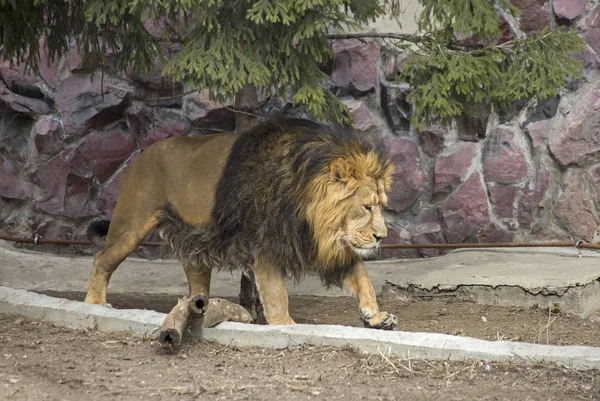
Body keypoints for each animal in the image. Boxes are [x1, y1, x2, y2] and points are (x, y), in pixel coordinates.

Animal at [82, 117, 396, 330]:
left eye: (382, 207)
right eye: (367, 207)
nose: (382, 236)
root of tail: (142, 153)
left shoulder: (323, 246)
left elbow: (363, 277)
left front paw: (376, 316)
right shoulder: (265, 245)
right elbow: (276, 293)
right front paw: (285, 325)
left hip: (194, 242)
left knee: (196, 285)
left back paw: (200, 311)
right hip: (131, 225)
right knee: (101, 259)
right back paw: (95, 303)